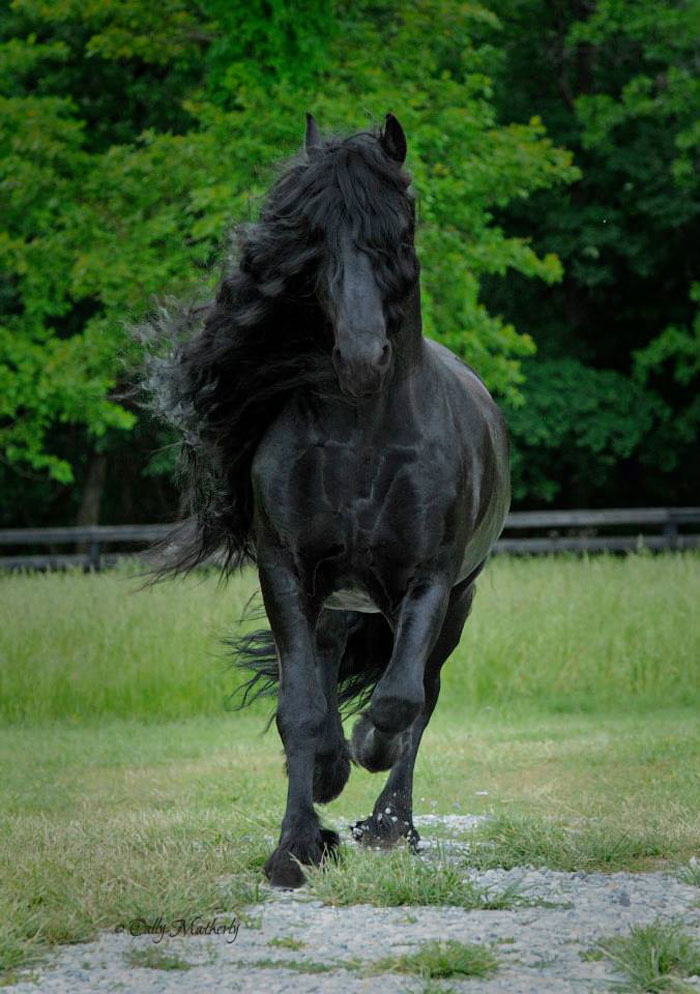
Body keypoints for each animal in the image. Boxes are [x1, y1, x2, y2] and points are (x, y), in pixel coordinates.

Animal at [148, 112, 508, 888]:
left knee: (423, 698)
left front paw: (365, 756)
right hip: (337, 607)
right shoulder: (287, 572)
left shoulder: (429, 580)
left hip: (455, 602)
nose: (362, 359)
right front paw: (297, 840)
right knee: (318, 691)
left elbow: (400, 700)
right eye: (313, 238)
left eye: (399, 231)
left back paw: (393, 825)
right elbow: (303, 714)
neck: (361, 436)